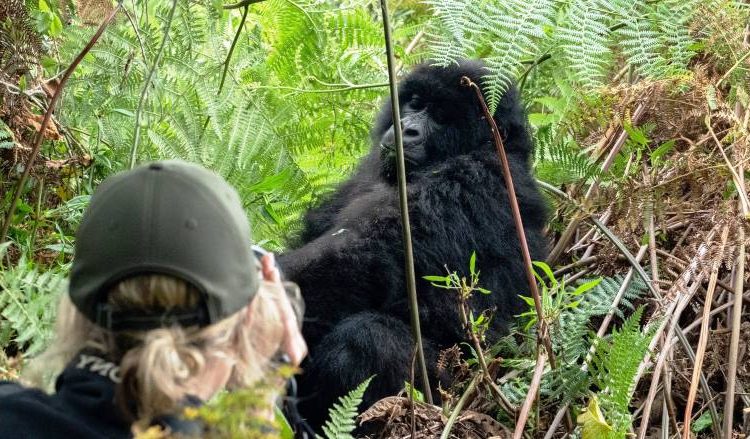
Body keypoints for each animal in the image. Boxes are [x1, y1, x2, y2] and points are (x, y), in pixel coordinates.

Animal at [280, 59, 548, 430]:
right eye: (416, 103)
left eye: (443, 116)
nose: (407, 129)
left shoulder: (472, 181)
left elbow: (357, 263)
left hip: (451, 397)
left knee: (367, 338)